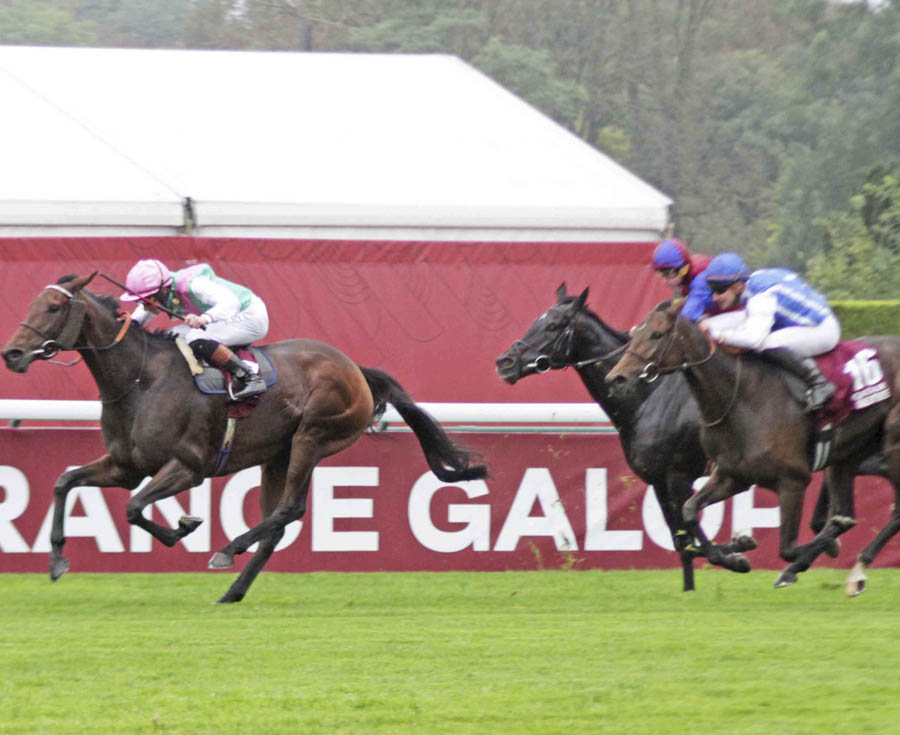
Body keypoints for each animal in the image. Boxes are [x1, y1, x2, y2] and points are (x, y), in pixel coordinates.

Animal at [3, 274, 488, 604]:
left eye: (53, 307)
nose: (12, 353)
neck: (141, 379)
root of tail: (356, 370)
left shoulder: (188, 467)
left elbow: (135, 507)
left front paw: (183, 527)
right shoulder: (126, 466)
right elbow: (66, 483)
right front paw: (58, 561)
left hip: (313, 436)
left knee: (289, 509)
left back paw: (227, 550)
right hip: (277, 454)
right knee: (278, 522)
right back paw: (233, 590)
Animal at [496, 288, 756, 592]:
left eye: (553, 325)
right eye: (537, 321)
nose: (505, 362)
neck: (647, 397)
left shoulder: (679, 475)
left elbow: (690, 532)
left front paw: (737, 553)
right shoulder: (659, 481)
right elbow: (683, 542)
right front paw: (701, 578)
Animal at [608, 300, 900, 592]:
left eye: (657, 335)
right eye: (634, 334)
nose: (617, 378)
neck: (741, 399)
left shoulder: (793, 481)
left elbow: (788, 548)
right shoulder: (732, 476)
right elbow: (689, 514)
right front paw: (737, 551)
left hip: (891, 446)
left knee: (893, 513)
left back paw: (854, 569)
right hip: (847, 456)